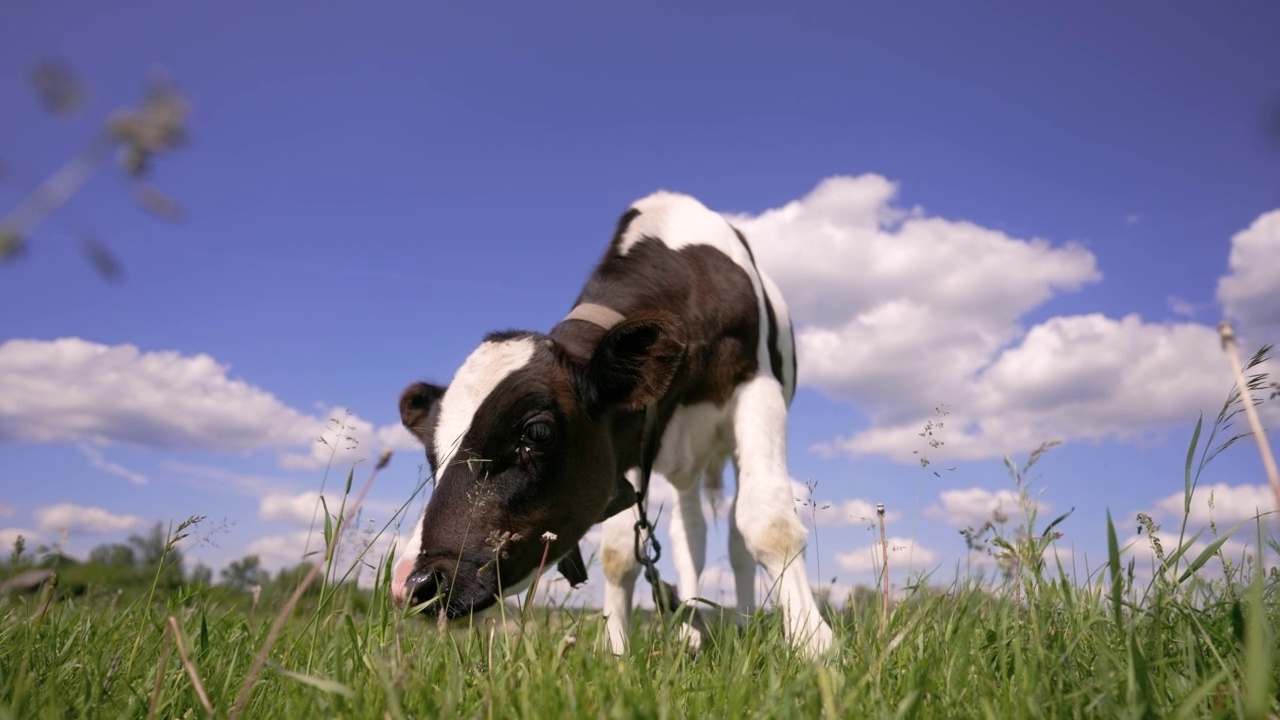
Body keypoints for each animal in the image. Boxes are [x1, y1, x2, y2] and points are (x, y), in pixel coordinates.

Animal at [394, 190, 834, 655]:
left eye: (537, 433)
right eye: (431, 454)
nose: (414, 583)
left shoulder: (758, 389)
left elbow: (768, 524)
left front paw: (813, 644)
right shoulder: (628, 439)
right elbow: (621, 553)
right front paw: (616, 650)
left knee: (735, 536)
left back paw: (745, 624)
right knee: (690, 536)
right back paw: (692, 629)